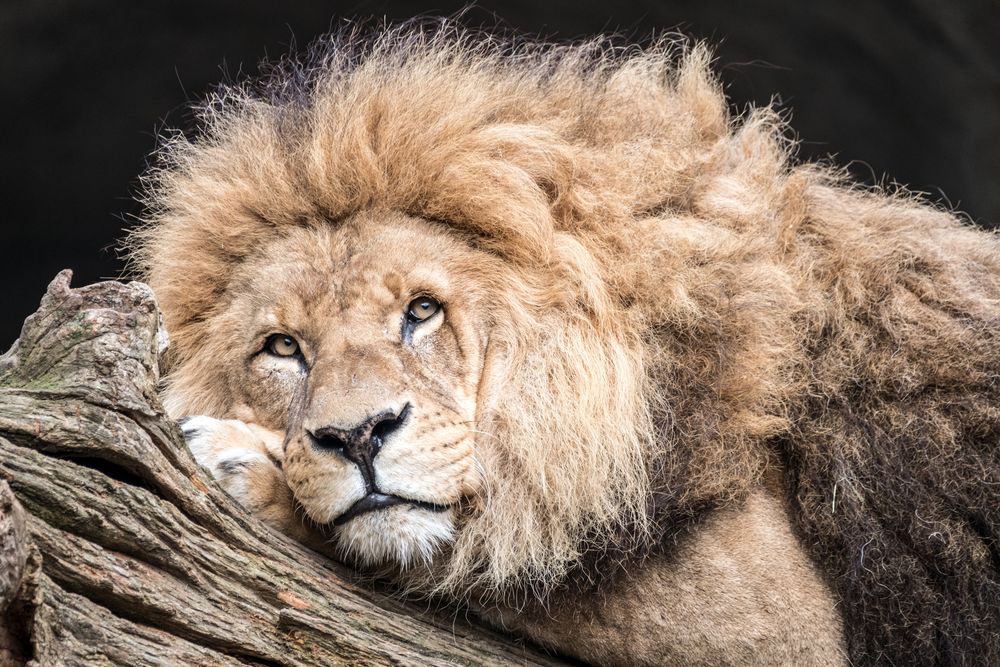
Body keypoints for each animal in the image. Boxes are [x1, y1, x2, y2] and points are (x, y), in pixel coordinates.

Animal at [128, 24, 1000, 666]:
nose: (358, 436)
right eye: (281, 347)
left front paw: (241, 462)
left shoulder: (782, 616)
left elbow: (491, 548)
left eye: (421, 310)